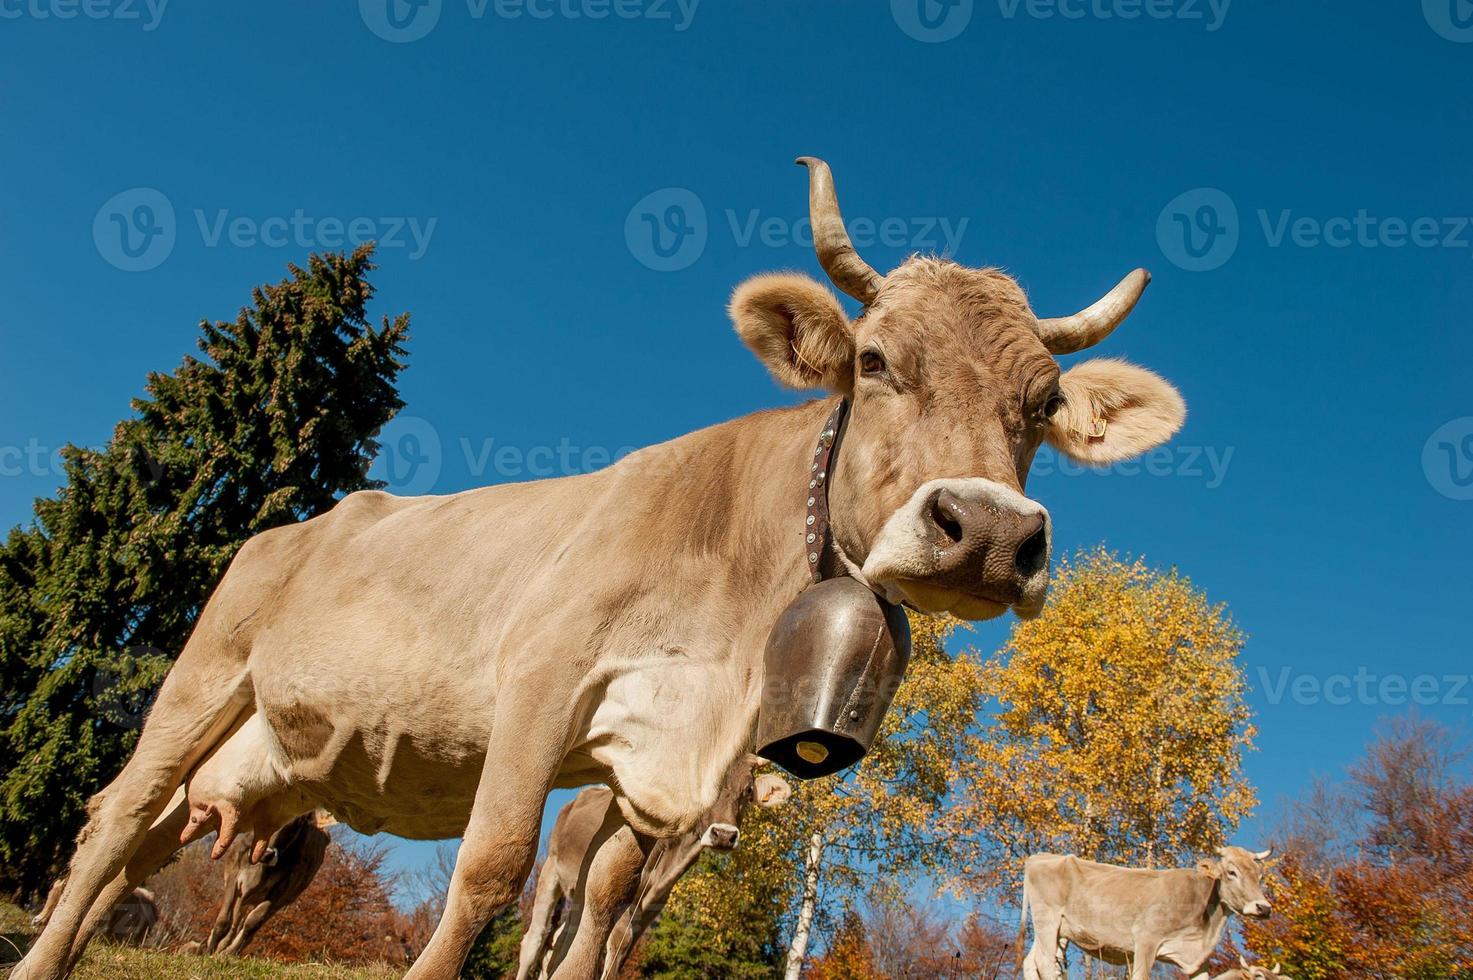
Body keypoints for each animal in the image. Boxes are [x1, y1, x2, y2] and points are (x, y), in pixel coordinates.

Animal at [206, 807, 332, 954]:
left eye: (299, 821)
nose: (267, 854)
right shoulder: (234, 877)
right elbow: (223, 920)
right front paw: (209, 952)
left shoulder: (279, 892)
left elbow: (252, 923)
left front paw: (229, 953)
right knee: (234, 924)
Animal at [518, 754, 795, 978]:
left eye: (748, 790)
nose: (724, 835)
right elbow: (615, 940)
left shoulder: (653, 904)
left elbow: (622, 945)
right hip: (551, 870)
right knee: (534, 940)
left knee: (562, 940)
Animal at [1019, 842, 1272, 978]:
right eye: (1232, 872)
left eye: (1260, 876)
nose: (1263, 907)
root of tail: (1041, 856)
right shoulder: (1146, 941)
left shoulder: (1198, 960)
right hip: (1047, 921)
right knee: (1045, 963)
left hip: (1060, 931)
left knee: (1031, 963)